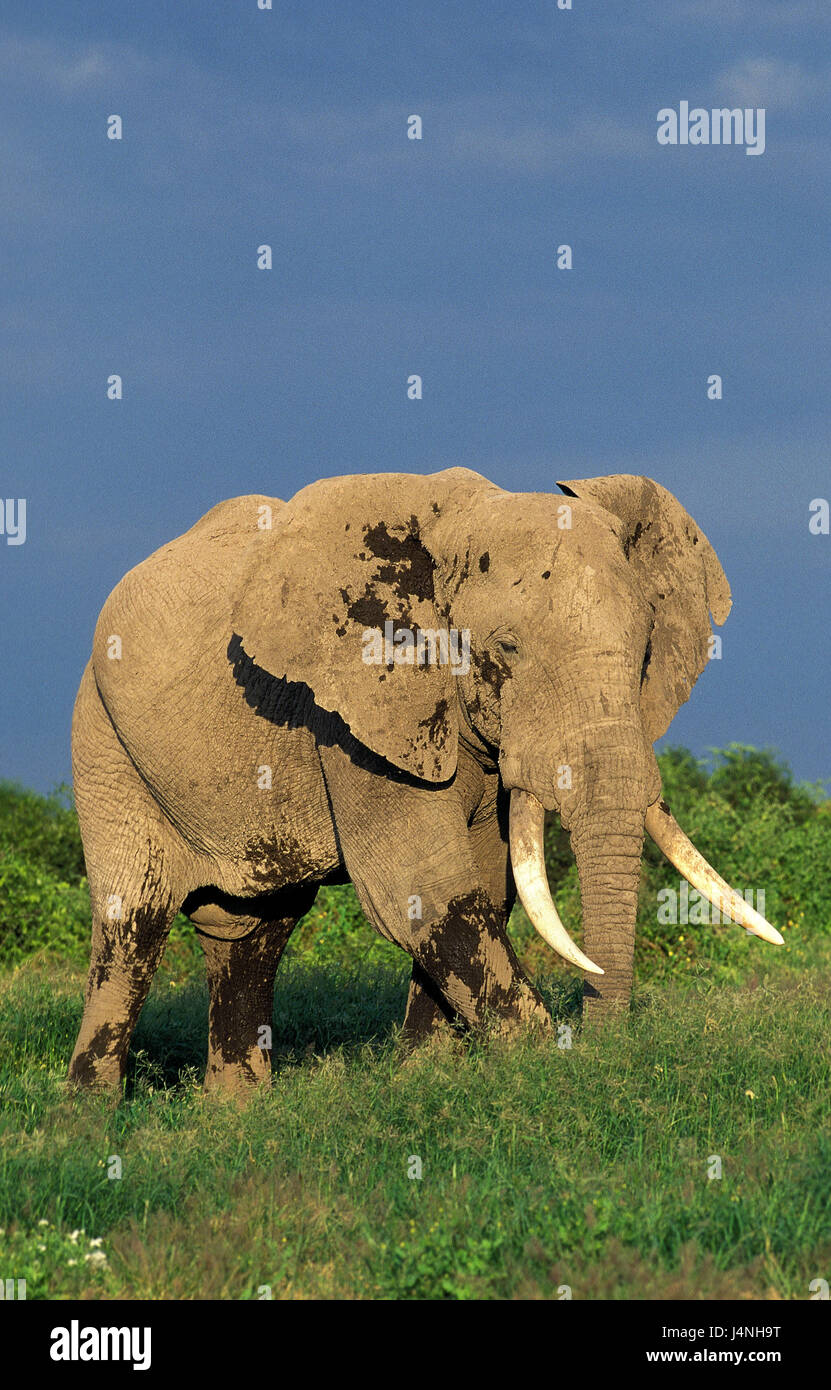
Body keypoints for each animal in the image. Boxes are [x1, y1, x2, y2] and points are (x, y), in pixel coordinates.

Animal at [68, 469, 783, 1095]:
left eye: (644, 651)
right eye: (504, 650)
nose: (607, 1051)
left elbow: (483, 886)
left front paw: (424, 1081)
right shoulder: (354, 712)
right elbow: (422, 890)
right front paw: (537, 1069)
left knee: (252, 934)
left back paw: (237, 1119)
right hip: (103, 742)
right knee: (131, 928)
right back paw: (88, 1127)